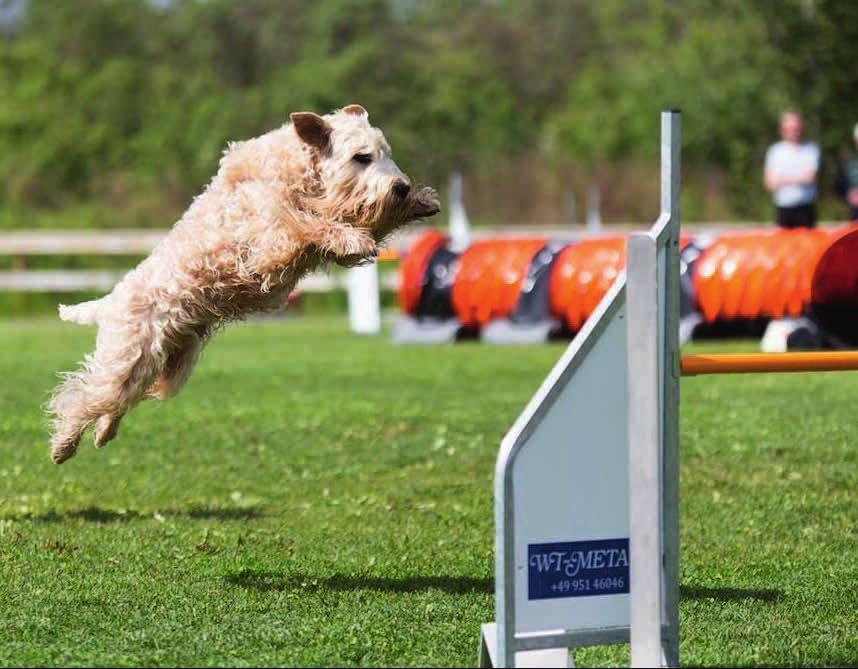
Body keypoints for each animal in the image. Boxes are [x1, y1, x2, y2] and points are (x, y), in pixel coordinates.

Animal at [47, 104, 438, 462]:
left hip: (166, 366)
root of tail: (108, 302)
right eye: (361, 157)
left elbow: (355, 220)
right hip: (127, 359)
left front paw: (421, 202)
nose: (401, 187)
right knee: (80, 396)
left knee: (121, 401)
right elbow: (307, 223)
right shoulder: (270, 244)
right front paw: (353, 236)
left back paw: (102, 434)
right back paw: (63, 446)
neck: (297, 171)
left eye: (386, 152)